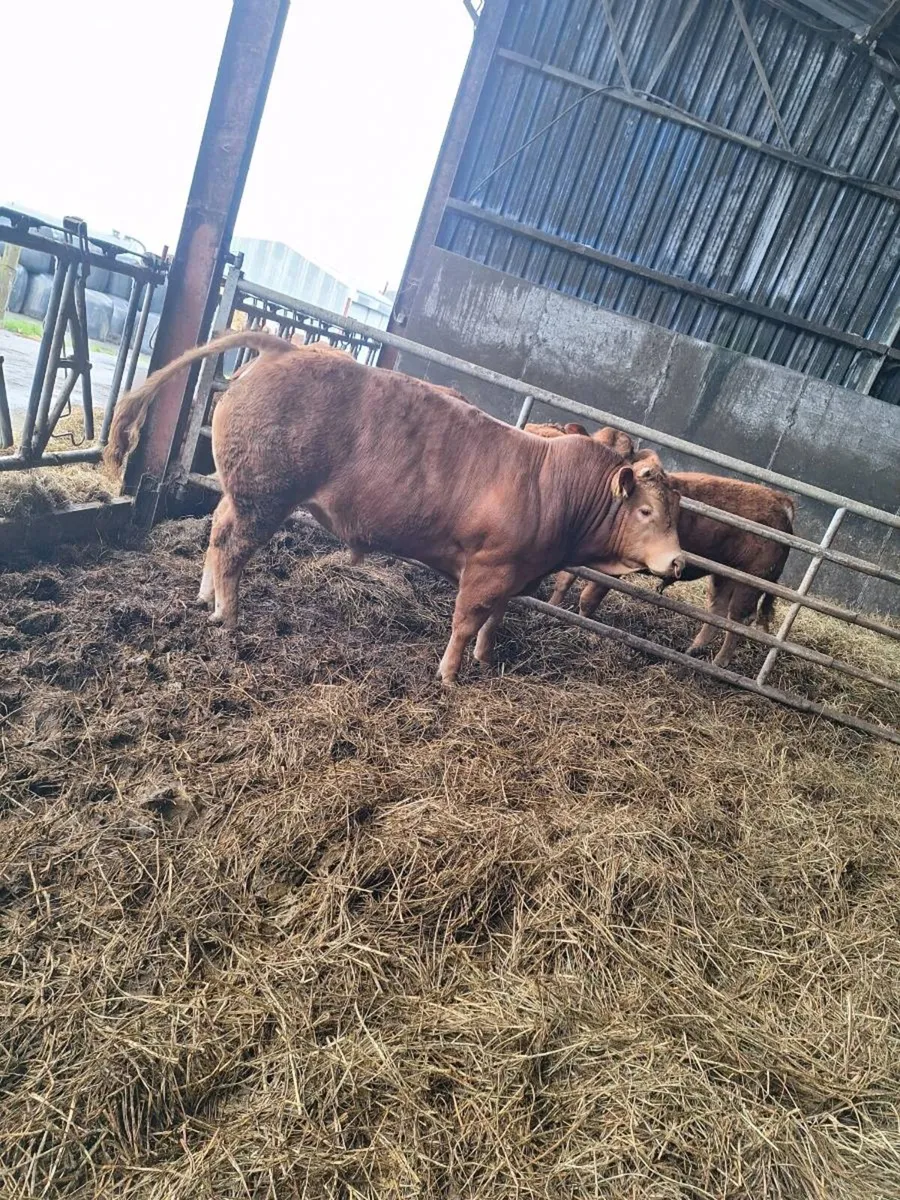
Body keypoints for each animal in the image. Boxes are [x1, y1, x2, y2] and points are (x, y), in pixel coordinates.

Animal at [105, 334, 684, 685]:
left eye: (675, 511)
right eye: (646, 511)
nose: (679, 562)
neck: (555, 487)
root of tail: (285, 347)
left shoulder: (519, 572)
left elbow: (495, 620)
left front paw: (486, 659)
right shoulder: (488, 566)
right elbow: (466, 619)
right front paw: (449, 674)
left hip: (242, 491)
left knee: (215, 531)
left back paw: (205, 597)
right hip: (264, 498)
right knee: (231, 547)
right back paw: (227, 615)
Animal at [535, 425, 795, 667]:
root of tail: (781, 501)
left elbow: (588, 599)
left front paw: (580, 627)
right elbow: (563, 580)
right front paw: (551, 609)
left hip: (751, 580)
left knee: (738, 619)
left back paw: (719, 663)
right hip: (724, 575)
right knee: (717, 611)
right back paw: (694, 651)